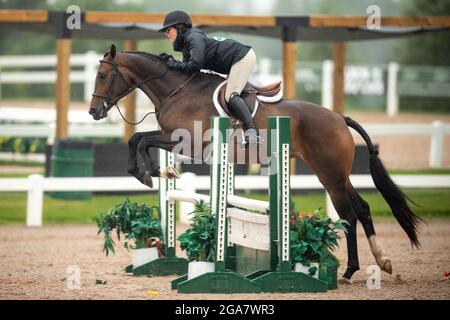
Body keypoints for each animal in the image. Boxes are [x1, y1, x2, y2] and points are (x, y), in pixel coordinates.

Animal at [89, 43, 422, 282]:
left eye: (103, 76)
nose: (94, 112)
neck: (177, 91)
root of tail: (340, 118)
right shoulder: (171, 136)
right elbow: (138, 139)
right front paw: (152, 172)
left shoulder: (191, 143)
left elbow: (143, 141)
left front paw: (155, 172)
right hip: (336, 175)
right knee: (363, 208)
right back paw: (382, 262)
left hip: (330, 175)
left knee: (349, 215)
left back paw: (350, 271)